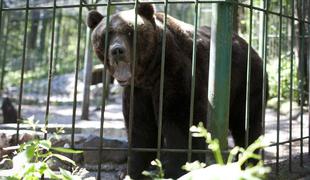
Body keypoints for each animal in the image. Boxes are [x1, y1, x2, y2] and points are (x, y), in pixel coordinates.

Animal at [86, 3, 266, 179]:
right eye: (106, 34)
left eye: (130, 31)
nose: (117, 50)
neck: (148, 73)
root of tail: (248, 45)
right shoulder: (138, 91)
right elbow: (141, 129)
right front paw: (132, 171)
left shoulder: (174, 73)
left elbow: (180, 121)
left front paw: (178, 169)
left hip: (246, 82)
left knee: (246, 123)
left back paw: (250, 162)